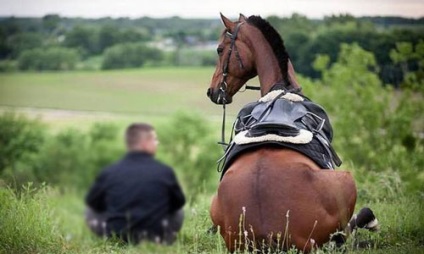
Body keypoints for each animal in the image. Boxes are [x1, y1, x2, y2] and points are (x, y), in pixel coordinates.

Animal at [205, 13, 378, 252]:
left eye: (220, 49)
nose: (212, 91)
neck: (281, 90)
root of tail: (268, 234)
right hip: (346, 182)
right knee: (348, 230)